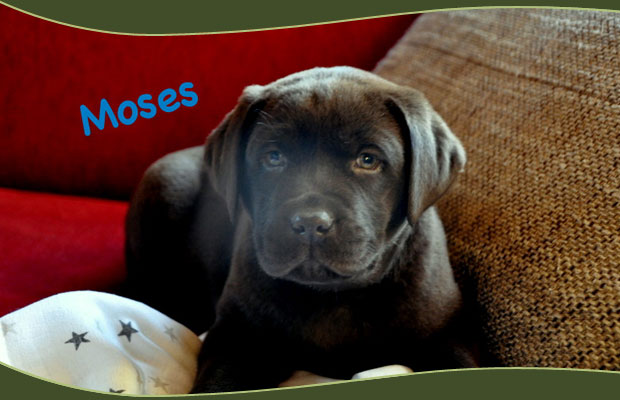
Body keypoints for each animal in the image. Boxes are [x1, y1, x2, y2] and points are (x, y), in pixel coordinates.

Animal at [125, 66, 477, 393]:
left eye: (368, 160)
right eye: (273, 157)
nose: (310, 223)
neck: (332, 297)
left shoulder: (445, 334)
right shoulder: (236, 338)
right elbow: (216, 383)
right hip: (166, 182)